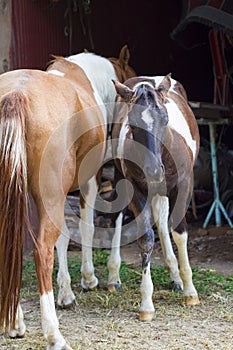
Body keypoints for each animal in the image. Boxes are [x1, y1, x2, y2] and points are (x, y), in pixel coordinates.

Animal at [0, 46, 135, 350]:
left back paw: (15, 323)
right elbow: (85, 227)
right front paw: (87, 279)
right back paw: (53, 334)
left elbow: (62, 238)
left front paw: (66, 292)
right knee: (41, 252)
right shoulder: (89, 180)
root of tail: (16, 95)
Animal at [112, 75, 199, 322]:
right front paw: (146, 304)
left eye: (165, 118)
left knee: (162, 220)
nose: (152, 170)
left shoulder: (183, 185)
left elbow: (179, 232)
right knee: (119, 216)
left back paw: (176, 277)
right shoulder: (135, 188)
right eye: (132, 122)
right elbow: (146, 238)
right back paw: (113, 277)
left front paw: (190, 291)